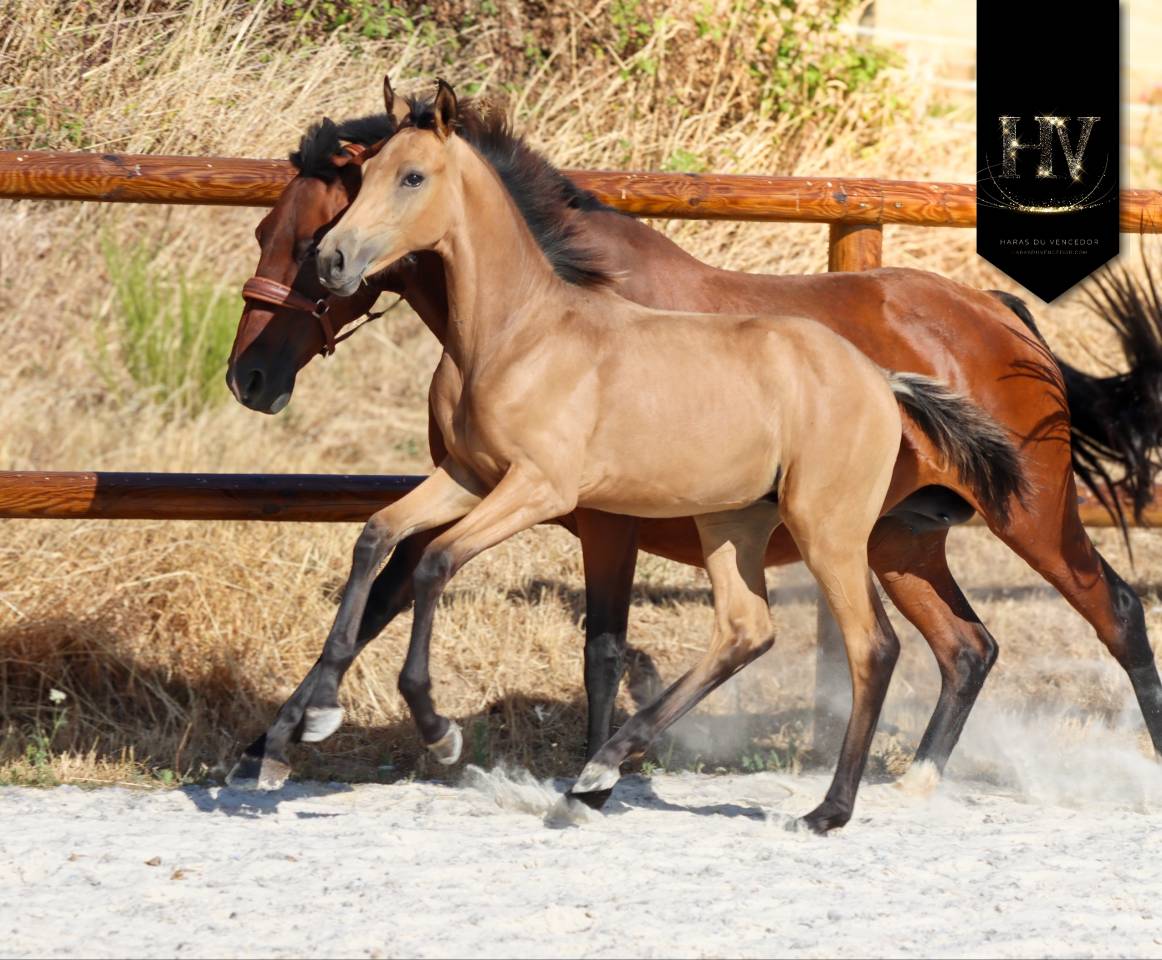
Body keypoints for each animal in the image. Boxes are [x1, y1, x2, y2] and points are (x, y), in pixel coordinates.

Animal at [226, 84, 1162, 805]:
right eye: (265, 232)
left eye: (304, 242)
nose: (250, 378)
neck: (539, 313)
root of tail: (1001, 315)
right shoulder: (480, 482)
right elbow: (384, 564)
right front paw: (281, 740)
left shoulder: (587, 511)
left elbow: (587, 641)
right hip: (901, 538)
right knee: (967, 647)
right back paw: (917, 780)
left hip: (1028, 514)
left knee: (1114, 611)